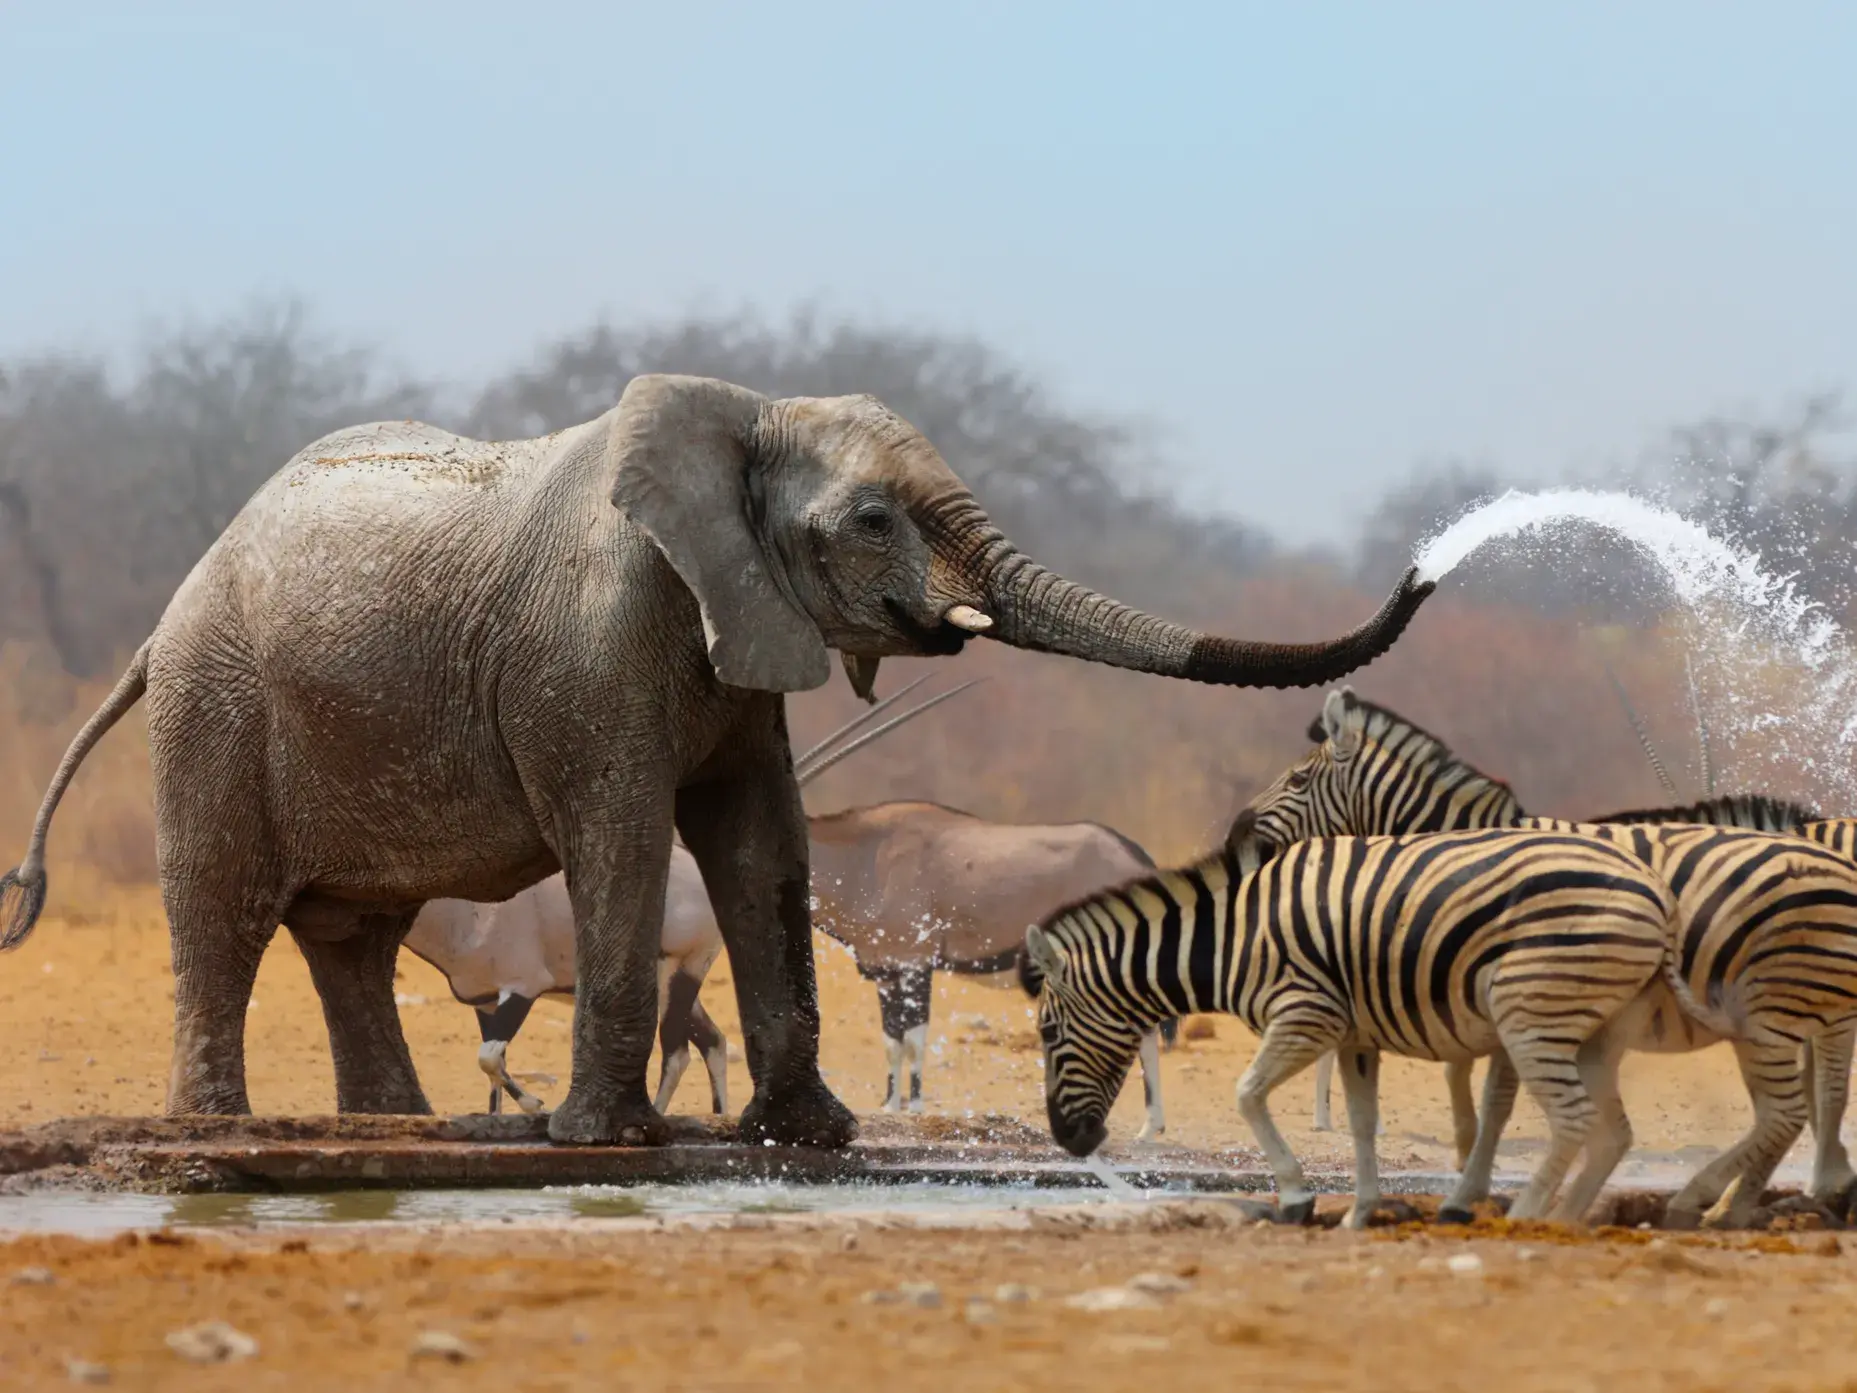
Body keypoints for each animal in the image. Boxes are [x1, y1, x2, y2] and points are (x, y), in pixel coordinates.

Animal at [0, 373, 1434, 1148]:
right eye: (872, 520)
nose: (1427, 564)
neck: (744, 416)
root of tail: (165, 618)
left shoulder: (743, 630)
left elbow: (762, 844)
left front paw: (812, 1136)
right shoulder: (590, 643)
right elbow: (626, 837)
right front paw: (604, 1141)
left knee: (353, 933)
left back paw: (394, 1130)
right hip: (216, 705)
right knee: (225, 908)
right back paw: (219, 1130)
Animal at [1020, 817, 1676, 1227]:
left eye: (1048, 1034)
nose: (1069, 1142)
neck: (1234, 937)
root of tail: (1653, 888)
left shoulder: (1306, 1014)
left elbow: (1247, 1094)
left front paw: (1296, 1197)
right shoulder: (1356, 1035)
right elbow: (1361, 1124)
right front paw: (1360, 1211)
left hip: (1530, 1013)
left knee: (1573, 1119)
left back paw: (1526, 1216)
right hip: (1592, 1026)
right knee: (1606, 1130)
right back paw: (1561, 1217)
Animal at [1247, 686, 1857, 1220]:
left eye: (1298, 778)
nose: (1241, 834)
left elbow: (1495, 1099)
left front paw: (1468, 1190)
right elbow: (1464, 1081)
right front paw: (1468, 1165)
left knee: (1816, 1092)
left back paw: (1780, 1191)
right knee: (1802, 1098)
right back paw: (1750, 1199)